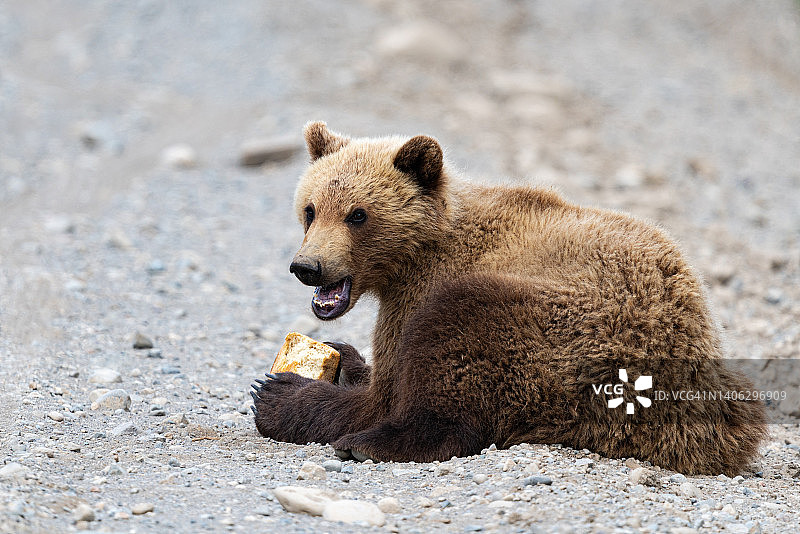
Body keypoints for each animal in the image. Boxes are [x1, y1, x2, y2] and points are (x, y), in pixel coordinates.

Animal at [251, 121, 766, 475]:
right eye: (310, 209)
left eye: (358, 214)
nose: (308, 267)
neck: (415, 256)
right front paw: (343, 358)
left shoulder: (423, 289)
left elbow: (388, 389)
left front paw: (280, 393)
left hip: (565, 332)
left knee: (457, 344)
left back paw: (367, 442)